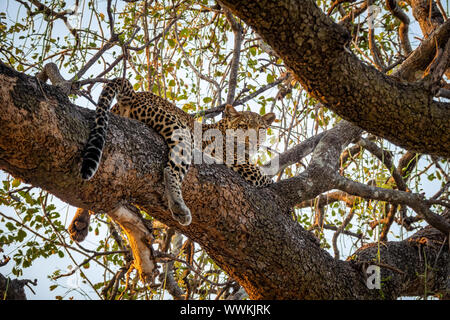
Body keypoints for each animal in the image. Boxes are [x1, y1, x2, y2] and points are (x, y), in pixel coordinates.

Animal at [71, 78, 274, 240]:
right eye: (243, 126)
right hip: (179, 130)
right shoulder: (242, 165)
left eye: (260, 129)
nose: (252, 140)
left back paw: (80, 221)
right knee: (171, 169)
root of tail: (134, 94)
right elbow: (266, 179)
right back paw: (179, 208)